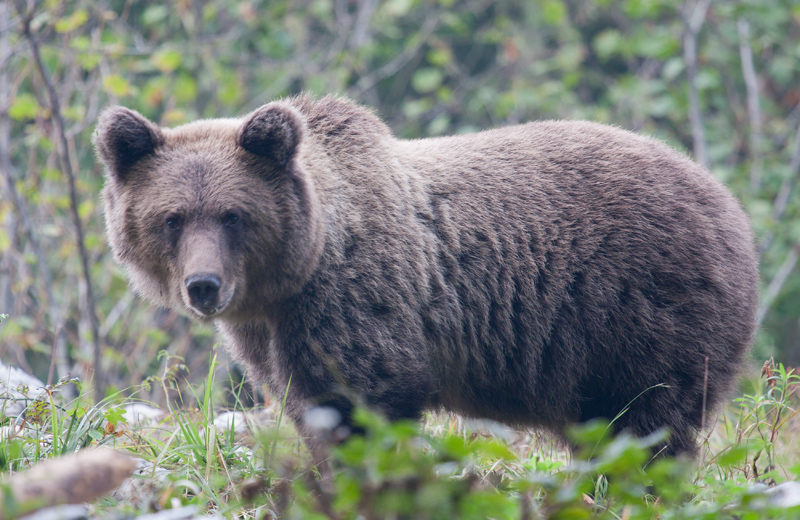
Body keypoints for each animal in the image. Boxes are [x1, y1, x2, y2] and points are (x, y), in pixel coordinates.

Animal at [94, 95, 756, 462]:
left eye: (233, 215)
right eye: (172, 217)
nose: (204, 286)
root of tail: (726, 200)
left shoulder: (360, 302)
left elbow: (361, 404)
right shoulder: (271, 336)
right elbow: (307, 409)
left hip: (641, 307)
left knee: (647, 424)